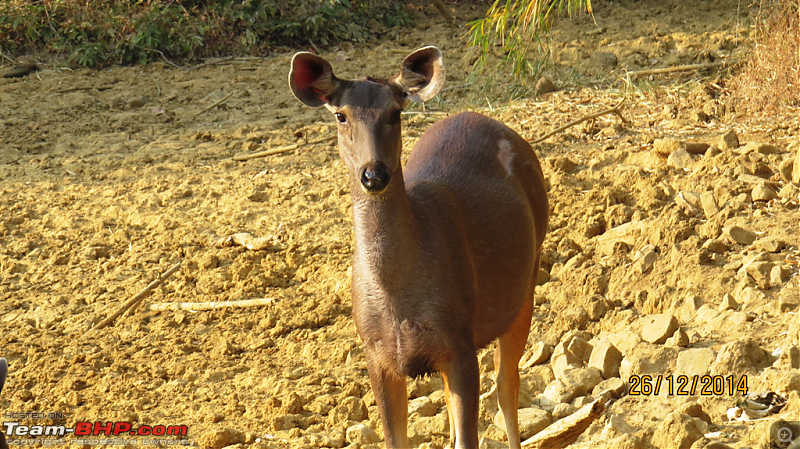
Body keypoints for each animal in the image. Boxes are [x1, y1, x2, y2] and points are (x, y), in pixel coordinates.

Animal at [290, 46, 552, 448]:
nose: (374, 173)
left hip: (526, 280)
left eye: (395, 113)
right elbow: (396, 438)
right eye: (341, 115)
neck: (397, 300)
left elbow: (469, 435)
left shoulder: (459, 342)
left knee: (506, 381)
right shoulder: (377, 355)